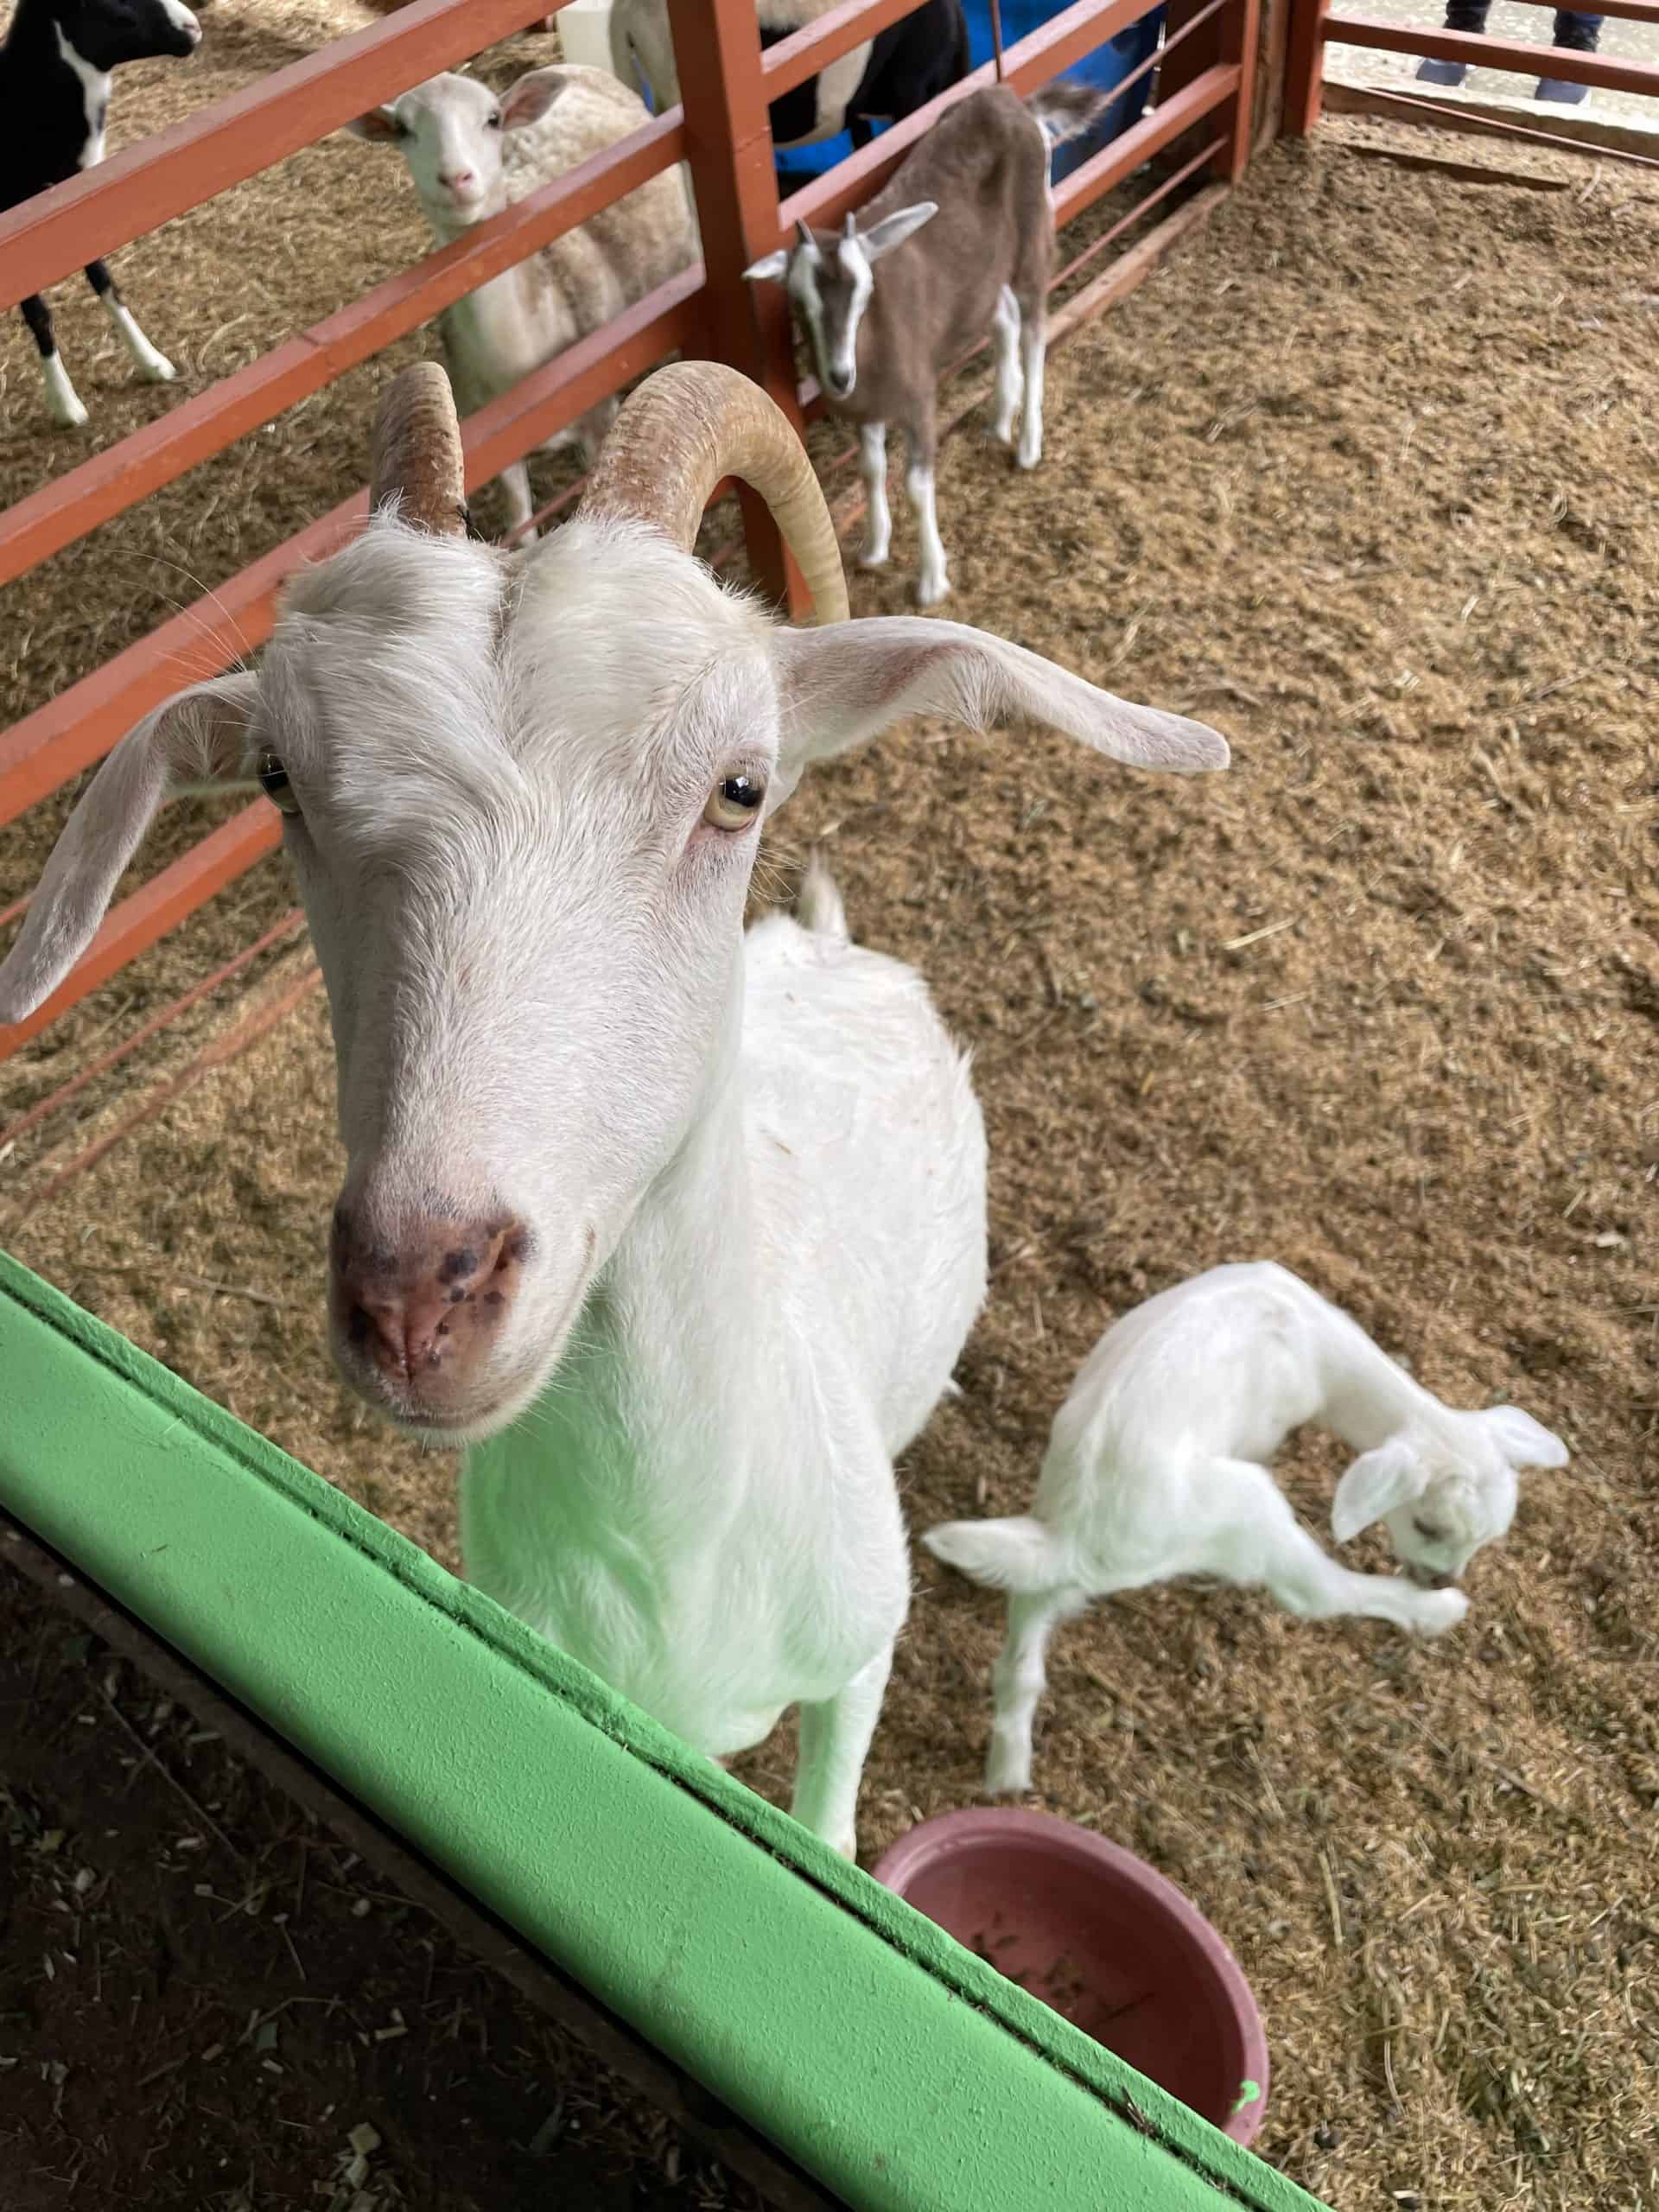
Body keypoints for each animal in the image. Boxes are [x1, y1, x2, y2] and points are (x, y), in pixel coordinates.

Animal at [0, 359, 1229, 1855]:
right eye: (279, 778)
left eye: (740, 786)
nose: (418, 1297)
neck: (674, 1553)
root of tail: (827, 942)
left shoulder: (856, 1660)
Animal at [2, 0, 202, 430]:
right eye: (115, 11)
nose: (193, 29)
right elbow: (39, 313)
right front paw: (66, 405)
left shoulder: (85, 205)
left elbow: (106, 282)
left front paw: (152, 362)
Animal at [349, 65, 696, 539]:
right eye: (403, 129)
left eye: (493, 119)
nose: (456, 179)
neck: (517, 361)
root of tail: (574, 68)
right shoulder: (495, 439)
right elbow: (520, 520)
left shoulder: (598, 413)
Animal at [745, 82, 1108, 607]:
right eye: (797, 302)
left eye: (866, 292)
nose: (839, 376)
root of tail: (1013, 101)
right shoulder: (867, 408)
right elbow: (872, 468)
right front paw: (874, 546)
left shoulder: (918, 399)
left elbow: (917, 485)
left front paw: (932, 580)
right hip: (983, 269)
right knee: (1004, 318)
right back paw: (1001, 418)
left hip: (1032, 239)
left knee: (1035, 328)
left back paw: (1027, 444)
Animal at [924, 1261, 1568, 1795]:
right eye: (1426, 1524)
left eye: (1487, 1539)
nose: (1442, 1577)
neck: (1316, 1342)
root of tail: (1078, 1536)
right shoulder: (1265, 1423)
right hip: (1245, 1504)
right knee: (1315, 1591)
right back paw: (1434, 1614)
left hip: (1046, 1538)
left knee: (1022, 1647)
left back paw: (1008, 1772)